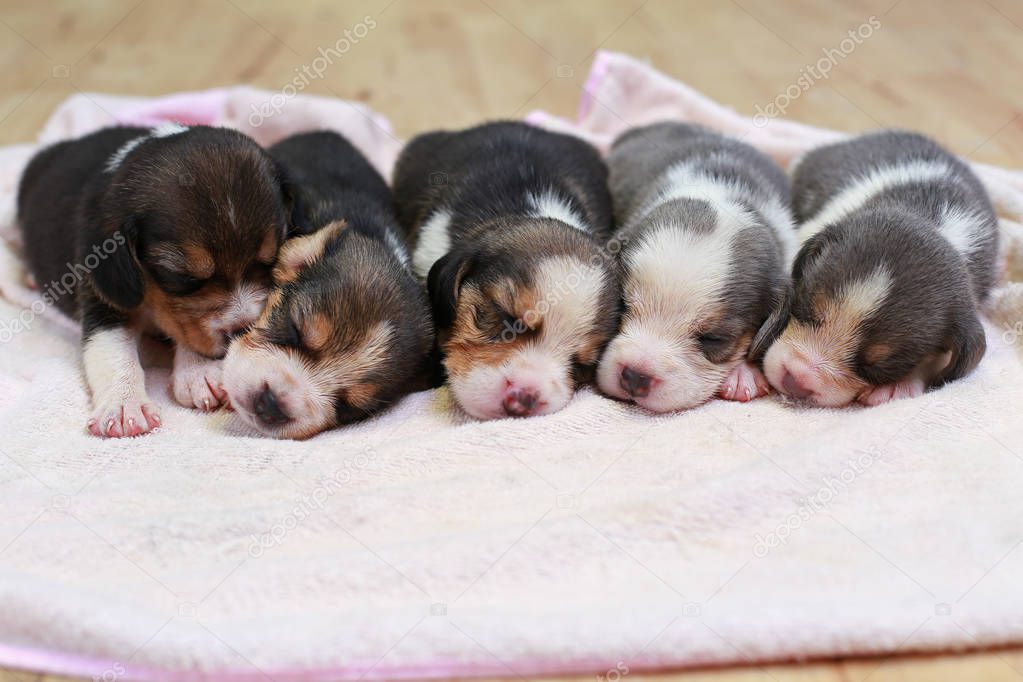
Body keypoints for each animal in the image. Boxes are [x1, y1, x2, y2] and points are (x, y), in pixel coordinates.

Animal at [18, 125, 296, 437]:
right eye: (183, 277)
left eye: (271, 261)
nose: (242, 328)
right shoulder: (103, 297)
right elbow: (113, 348)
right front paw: (124, 405)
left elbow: (186, 331)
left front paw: (198, 372)